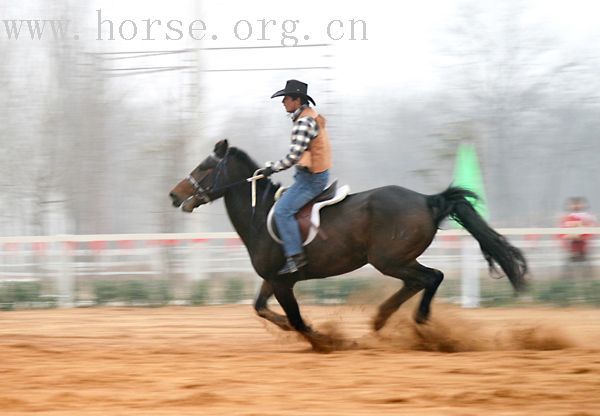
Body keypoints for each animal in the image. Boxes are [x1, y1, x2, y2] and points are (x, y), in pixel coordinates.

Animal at [169, 140, 524, 352]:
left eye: (204, 167)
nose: (174, 195)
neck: (261, 215)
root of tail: (428, 200)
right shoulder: (273, 279)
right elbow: (262, 309)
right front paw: (303, 331)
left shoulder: (283, 281)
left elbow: (295, 319)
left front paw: (324, 340)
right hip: (395, 261)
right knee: (419, 281)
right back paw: (381, 318)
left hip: (389, 260)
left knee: (431, 277)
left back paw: (418, 322)